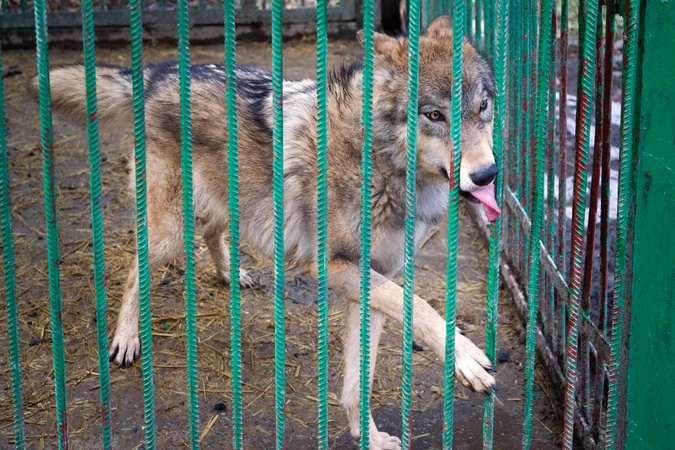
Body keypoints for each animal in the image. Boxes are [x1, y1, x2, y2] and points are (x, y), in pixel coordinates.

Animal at [39, 16, 499, 449]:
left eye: (483, 107)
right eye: (434, 115)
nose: (487, 174)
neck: (381, 161)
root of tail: (154, 73)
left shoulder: (376, 277)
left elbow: (359, 379)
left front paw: (367, 437)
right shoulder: (332, 267)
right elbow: (421, 307)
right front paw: (467, 359)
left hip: (232, 204)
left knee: (210, 232)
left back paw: (231, 274)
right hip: (169, 231)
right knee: (136, 267)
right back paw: (126, 338)